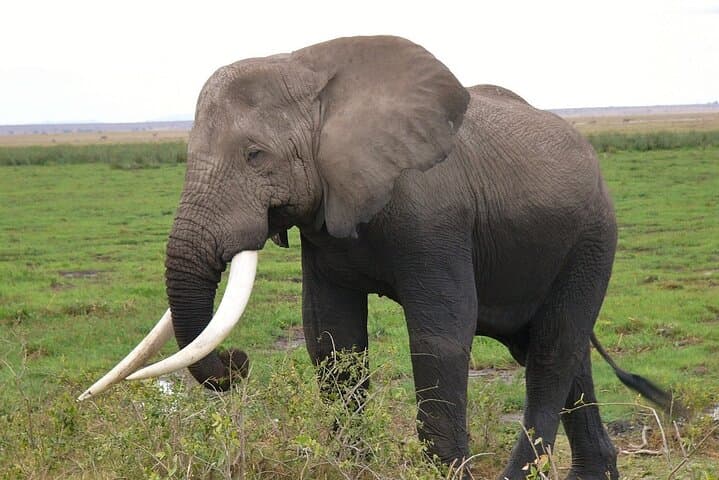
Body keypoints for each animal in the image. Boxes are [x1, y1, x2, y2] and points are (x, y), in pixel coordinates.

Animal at [81, 36, 676, 479]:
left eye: (255, 155)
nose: (238, 362)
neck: (308, 70)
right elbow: (331, 338)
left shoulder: (437, 216)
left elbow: (440, 334)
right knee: (561, 352)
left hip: (593, 238)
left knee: (552, 352)